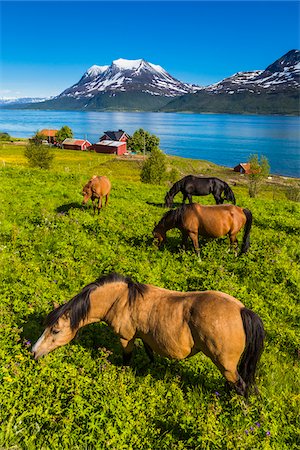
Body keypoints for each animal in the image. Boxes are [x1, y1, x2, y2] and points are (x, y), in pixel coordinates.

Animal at [31, 272, 264, 396]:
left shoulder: (126, 338)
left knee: (241, 387)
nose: (33, 352)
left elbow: (126, 360)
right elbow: (150, 355)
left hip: (226, 365)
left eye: (55, 330)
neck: (121, 300)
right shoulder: (145, 338)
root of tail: (241, 309)